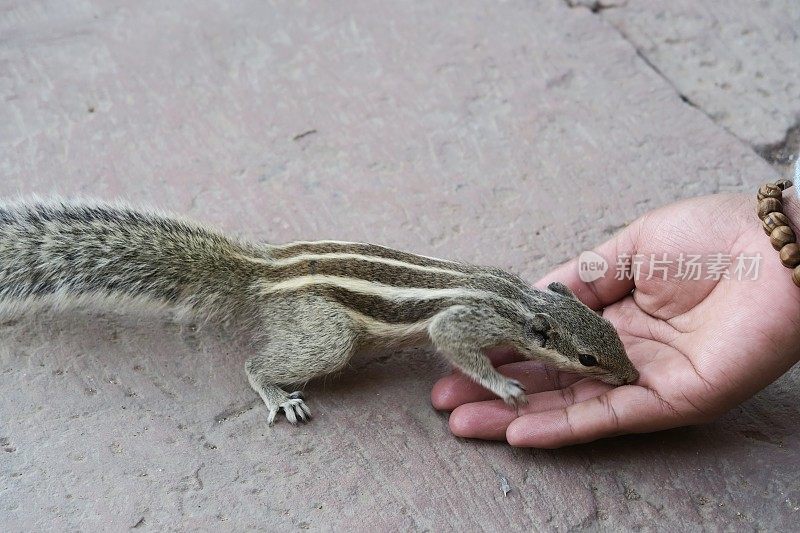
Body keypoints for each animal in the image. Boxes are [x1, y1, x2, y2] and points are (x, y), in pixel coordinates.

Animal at [0, 197, 636, 426]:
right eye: (588, 357)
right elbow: (451, 340)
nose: (633, 378)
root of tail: (264, 273)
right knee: (258, 364)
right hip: (325, 335)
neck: (520, 299)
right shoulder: (468, 321)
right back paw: (277, 394)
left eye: (613, 334)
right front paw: (503, 385)